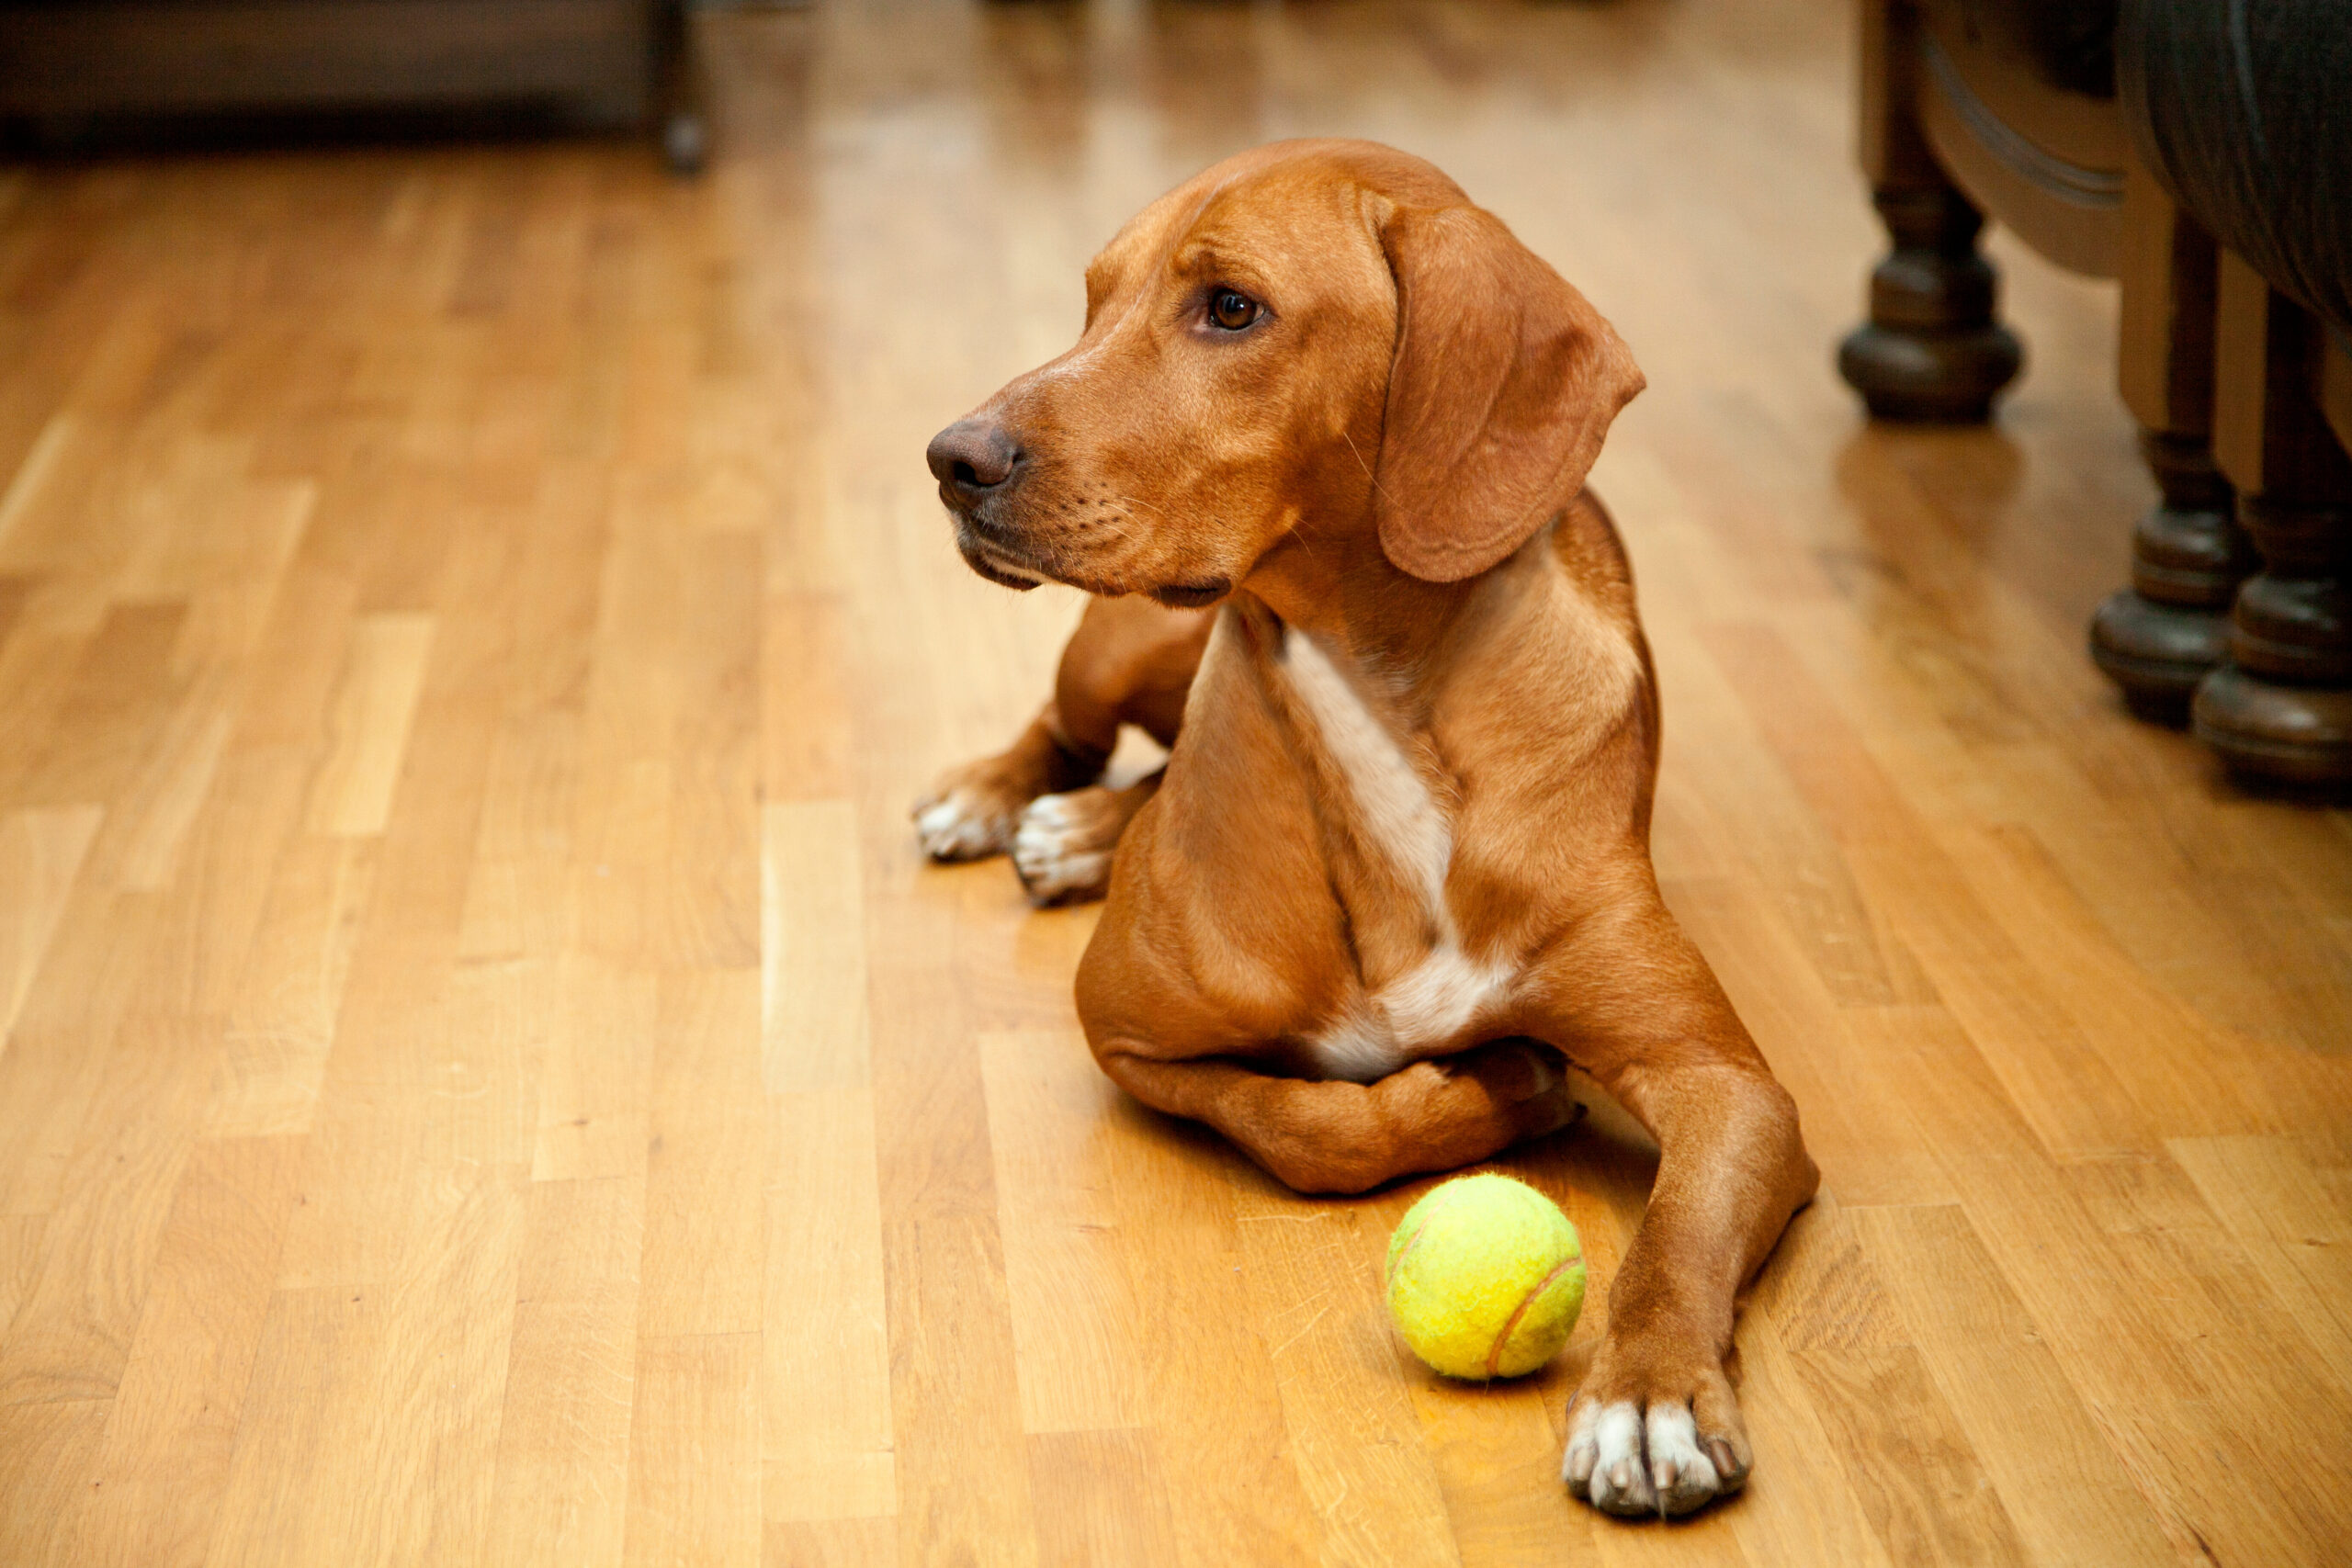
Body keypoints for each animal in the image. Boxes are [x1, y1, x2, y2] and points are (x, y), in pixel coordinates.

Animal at [908, 138, 1806, 1523]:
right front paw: (1495, 1092)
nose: (950, 457)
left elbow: (1680, 1233)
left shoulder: (1732, 1086)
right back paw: (1011, 799)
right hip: (1115, 647)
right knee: (1070, 730)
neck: (1375, 702)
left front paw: (1649, 1390)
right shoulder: (1120, 1027)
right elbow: (1309, 1124)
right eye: (1092, 299)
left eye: (1232, 308)